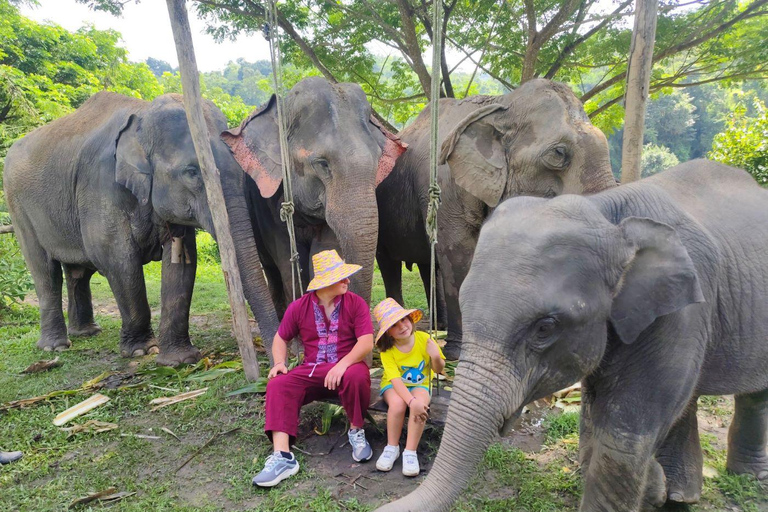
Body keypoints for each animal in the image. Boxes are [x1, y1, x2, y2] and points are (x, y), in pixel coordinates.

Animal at [2, 91, 280, 364]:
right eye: (191, 172)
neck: (142, 115)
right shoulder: (101, 186)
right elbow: (118, 260)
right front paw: (141, 351)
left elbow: (181, 261)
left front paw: (179, 360)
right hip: (18, 206)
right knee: (44, 270)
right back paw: (55, 347)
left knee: (78, 272)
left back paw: (86, 333)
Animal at [220, 76, 404, 312]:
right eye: (322, 164)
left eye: (378, 161)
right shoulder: (266, 204)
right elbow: (289, 265)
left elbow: (323, 252)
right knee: (272, 272)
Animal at [378, 78, 616, 358]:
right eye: (558, 154)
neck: (500, 106)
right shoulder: (446, 188)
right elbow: (458, 255)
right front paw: (459, 353)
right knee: (388, 262)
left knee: (428, 264)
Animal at [378, 160, 768, 512]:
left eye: (545, 328)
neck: (608, 213)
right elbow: (597, 409)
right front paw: (650, 489)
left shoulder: (679, 314)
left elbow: (623, 438)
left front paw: (643, 486)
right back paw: (680, 495)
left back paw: (739, 480)